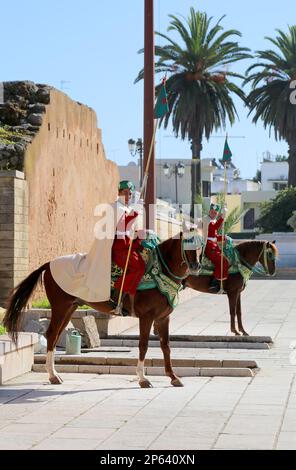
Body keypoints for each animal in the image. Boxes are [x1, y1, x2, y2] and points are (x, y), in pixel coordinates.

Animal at [3, 233, 201, 388]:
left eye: (200, 247)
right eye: (187, 245)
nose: (196, 267)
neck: (160, 271)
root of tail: (49, 264)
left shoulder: (163, 318)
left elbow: (166, 346)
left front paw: (173, 377)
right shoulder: (146, 317)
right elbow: (143, 345)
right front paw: (143, 379)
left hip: (70, 307)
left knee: (55, 334)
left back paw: (54, 374)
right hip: (60, 306)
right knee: (51, 334)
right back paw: (52, 375)